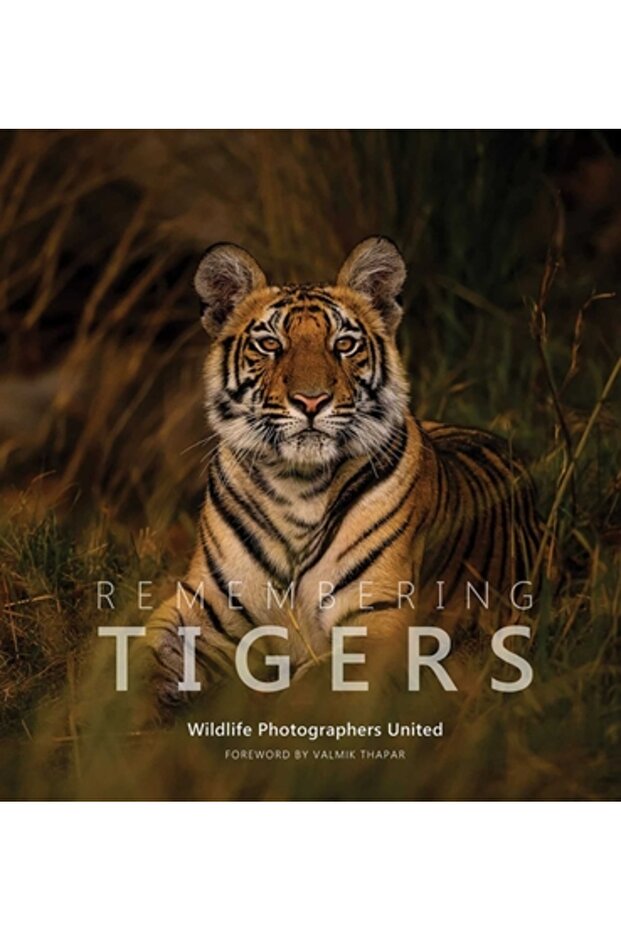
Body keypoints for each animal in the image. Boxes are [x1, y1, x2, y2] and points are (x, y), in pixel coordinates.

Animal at [141, 236, 542, 708]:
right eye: (270, 344)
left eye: (345, 344)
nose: (311, 401)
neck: (295, 484)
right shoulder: (203, 608)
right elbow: (144, 661)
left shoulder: (375, 623)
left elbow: (304, 693)